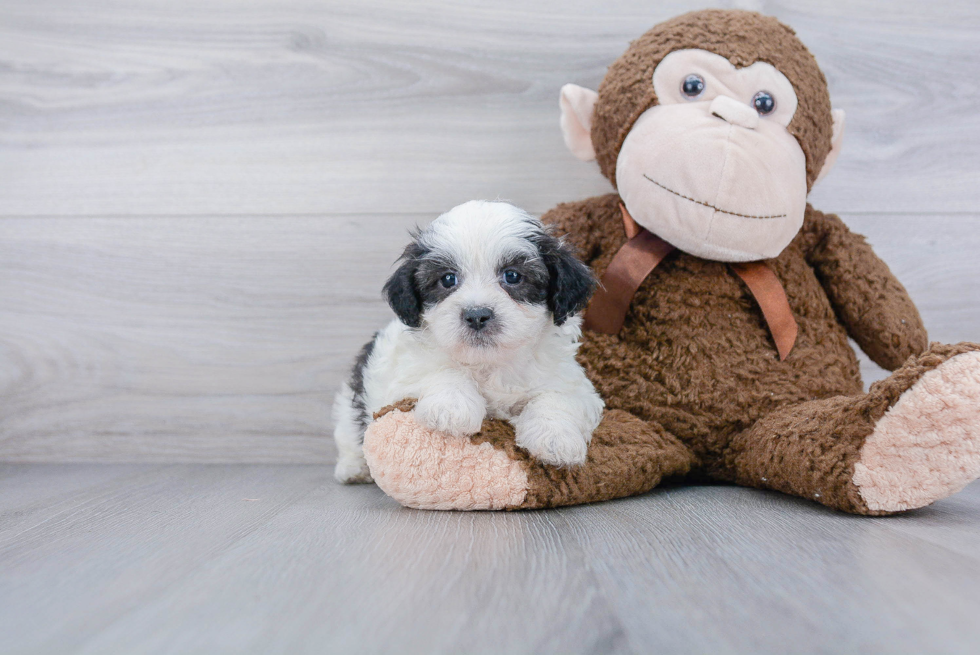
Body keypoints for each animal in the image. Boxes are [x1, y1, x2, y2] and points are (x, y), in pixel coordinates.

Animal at [334, 202, 604, 484]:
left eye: (512, 276)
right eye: (447, 279)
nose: (476, 315)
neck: (489, 363)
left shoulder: (571, 382)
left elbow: (558, 398)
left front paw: (555, 437)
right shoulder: (401, 378)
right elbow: (441, 370)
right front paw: (451, 407)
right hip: (349, 406)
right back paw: (353, 468)